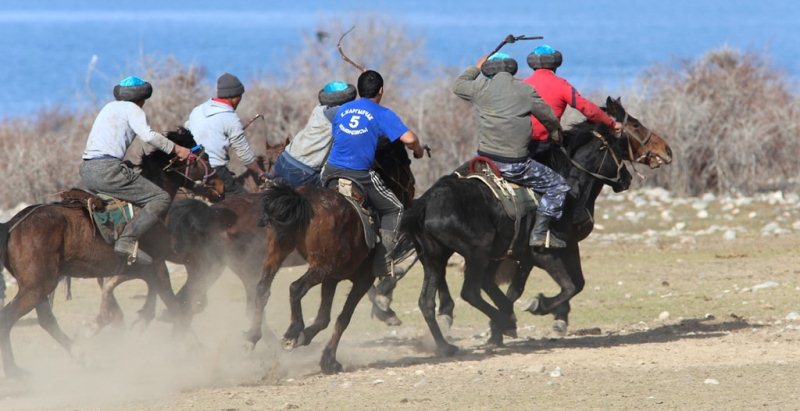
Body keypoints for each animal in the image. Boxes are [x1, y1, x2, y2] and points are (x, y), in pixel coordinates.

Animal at [0, 130, 223, 378]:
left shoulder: (139, 269)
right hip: (37, 286)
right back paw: (15, 373)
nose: (221, 186)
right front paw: (192, 346)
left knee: (46, 320)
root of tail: (12, 225)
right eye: (204, 158)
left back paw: (82, 356)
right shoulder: (155, 265)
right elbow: (172, 303)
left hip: (39, 285)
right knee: (8, 319)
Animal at [244, 139, 418, 376]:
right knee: (296, 288)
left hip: (278, 251)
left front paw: (308, 339)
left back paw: (252, 337)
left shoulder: (332, 279)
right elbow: (343, 318)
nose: (413, 188)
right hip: (320, 266)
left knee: (262, 288)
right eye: (404, 161)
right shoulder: (362, 279)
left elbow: (324, 318)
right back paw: (291, 332)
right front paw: (328, 359)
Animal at [396, 98, 672, 356]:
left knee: (427, 302)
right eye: (634, 125)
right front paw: (538, 307)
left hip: (434, 257)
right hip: (476, 254)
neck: (570, 183)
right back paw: (504, 321)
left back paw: (447, 345)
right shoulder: (542, 253)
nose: (667, 150)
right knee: (470, 292)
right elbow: (567, 286)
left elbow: (572, 283)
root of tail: (425, 204)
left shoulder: (555, 248)